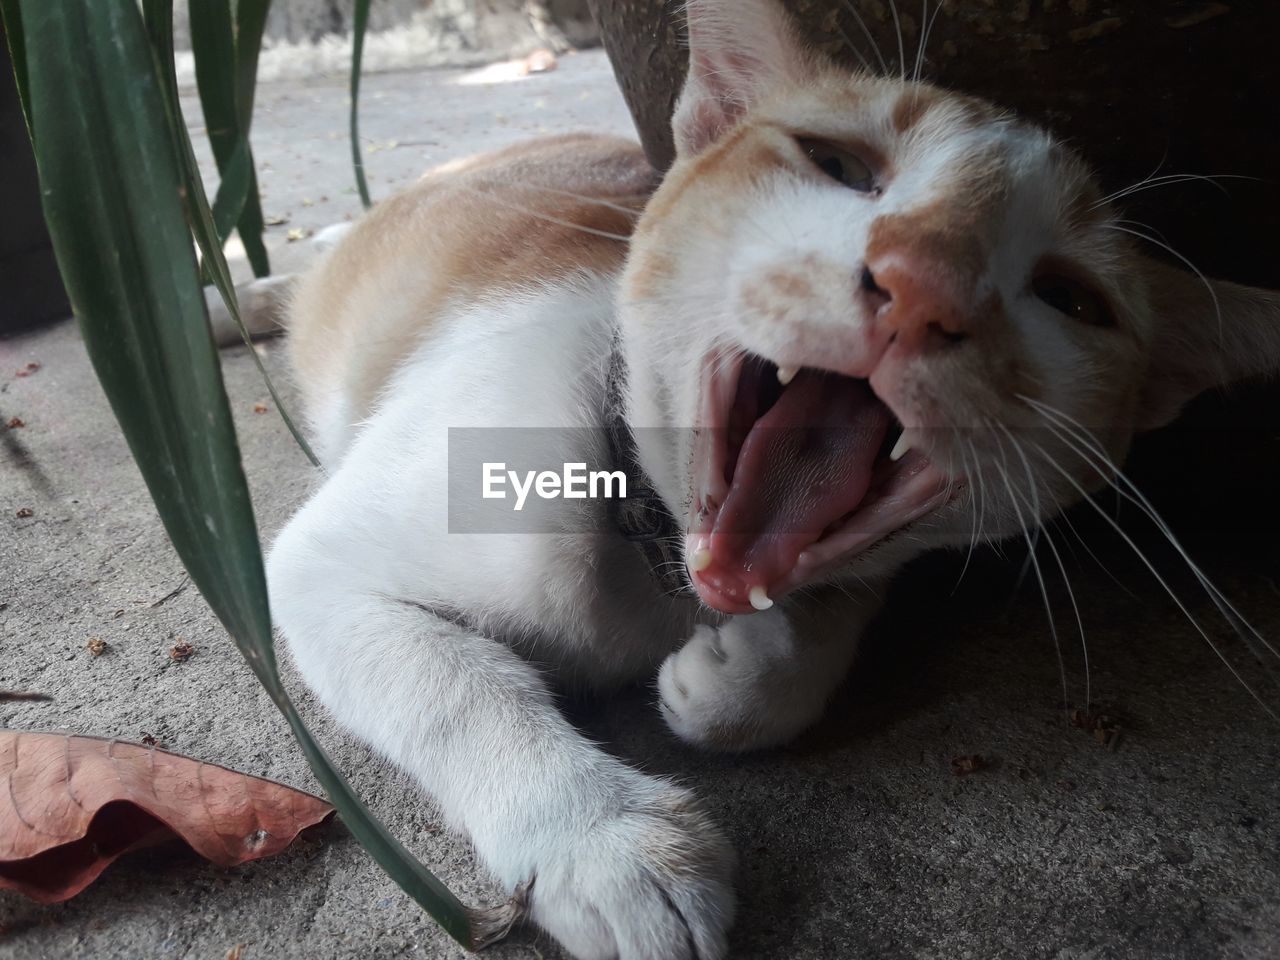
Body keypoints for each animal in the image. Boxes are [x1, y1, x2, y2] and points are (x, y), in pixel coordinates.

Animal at [254, 1, 1280, 960]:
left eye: (1073, 300)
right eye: (836, 161)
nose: (927, 283)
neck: (654, 550)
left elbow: (829, 616)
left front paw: (732, 683)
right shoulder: (317, 569)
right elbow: (458, 685)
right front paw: (604, 843)